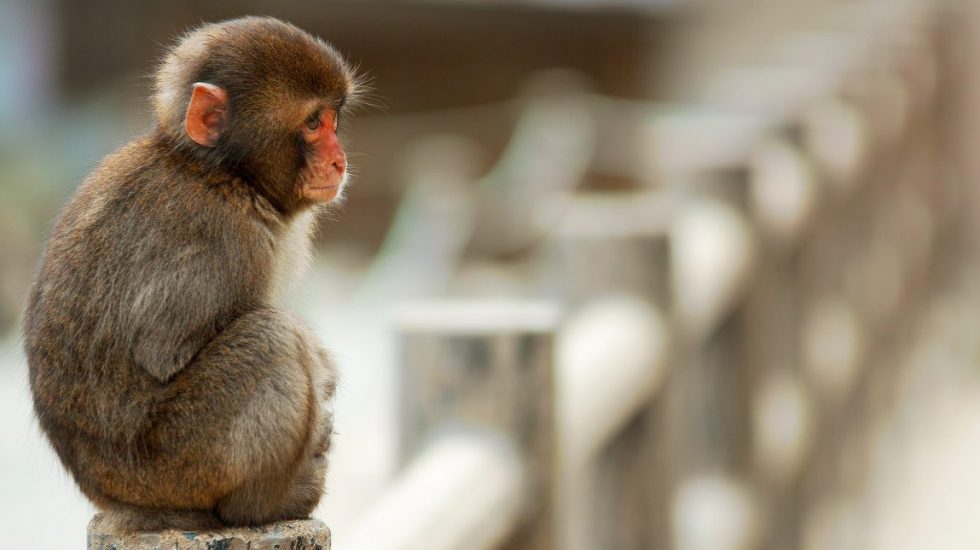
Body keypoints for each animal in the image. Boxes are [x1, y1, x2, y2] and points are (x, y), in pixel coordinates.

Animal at [22, 17, 364, 531]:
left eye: (333, 120)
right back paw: (265, 505)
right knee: (271, 338)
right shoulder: (221, 238)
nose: (339, 160)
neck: (222, 174)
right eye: (311, 123)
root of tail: (112, 498)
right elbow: (164, 351)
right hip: (178, 464)